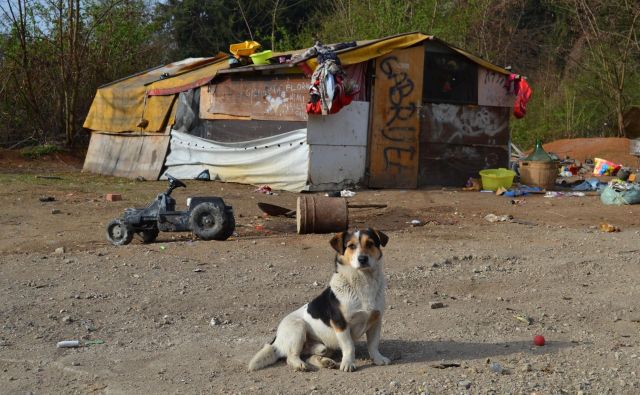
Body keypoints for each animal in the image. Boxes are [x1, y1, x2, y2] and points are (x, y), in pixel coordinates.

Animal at [249, 227, 390, 372]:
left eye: (370, 243)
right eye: (351, 246)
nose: (363, 259)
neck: (363, 283)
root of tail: (276, 340)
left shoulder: (376, 321)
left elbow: (373, 344)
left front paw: (378, 359)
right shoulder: (340, 324)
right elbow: (349, 346)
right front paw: (348, 363)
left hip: (323, 347)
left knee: (310, 355)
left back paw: (325, 362)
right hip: (298, 327)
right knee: (291, 356)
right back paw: (300, 365)